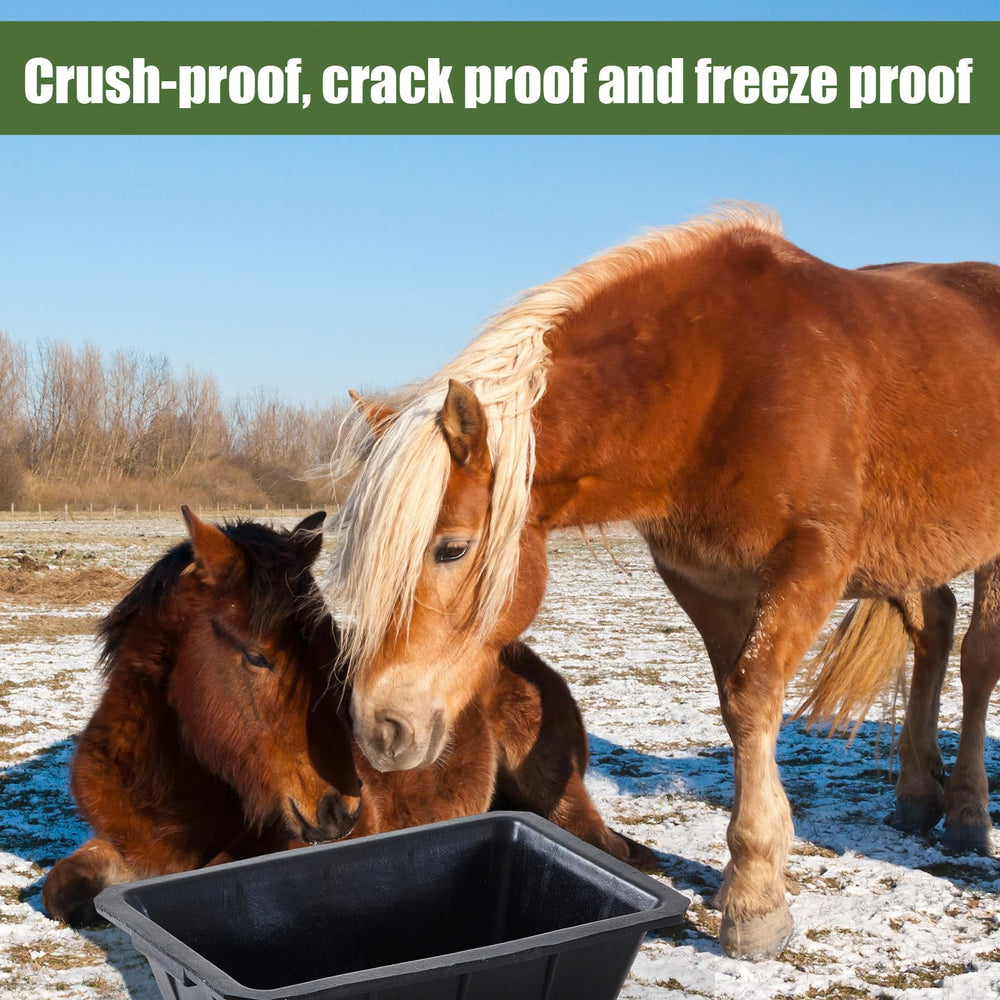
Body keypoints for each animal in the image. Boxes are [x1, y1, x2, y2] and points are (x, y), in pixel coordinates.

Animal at [43, 507, 648, 927]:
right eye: (257, 657)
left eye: (333, 651)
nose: (342, 811)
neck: (174, 795)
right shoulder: (122, 846)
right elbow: (59, 889)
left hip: (556, 792)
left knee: (608, 846)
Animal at [328, 204, 1000, 960]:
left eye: (451, 548)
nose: (378, 727)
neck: (723, 376)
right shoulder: (705, 580)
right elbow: (738, 705)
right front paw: (758, 871)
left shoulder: (810, 562)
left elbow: (753, 696)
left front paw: (754, 898)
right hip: (903, 551)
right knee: (934, 627)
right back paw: (916, 794)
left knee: (978, 660)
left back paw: (967, 813)